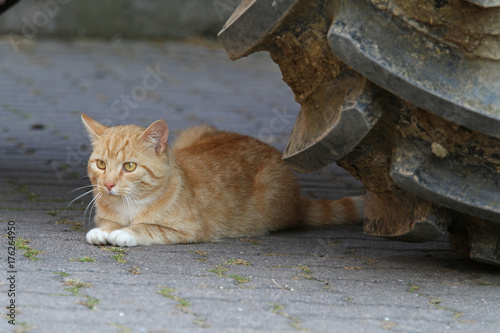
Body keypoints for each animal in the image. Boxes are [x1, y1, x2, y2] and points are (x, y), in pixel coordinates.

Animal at [81, 114, 364, 246]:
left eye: (129, 166)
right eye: (101, 164)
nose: (108, 184)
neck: (129, 206)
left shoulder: (190, 229)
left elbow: (148, 227)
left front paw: (124, 233)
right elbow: (106, 223)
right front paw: (105, 231)